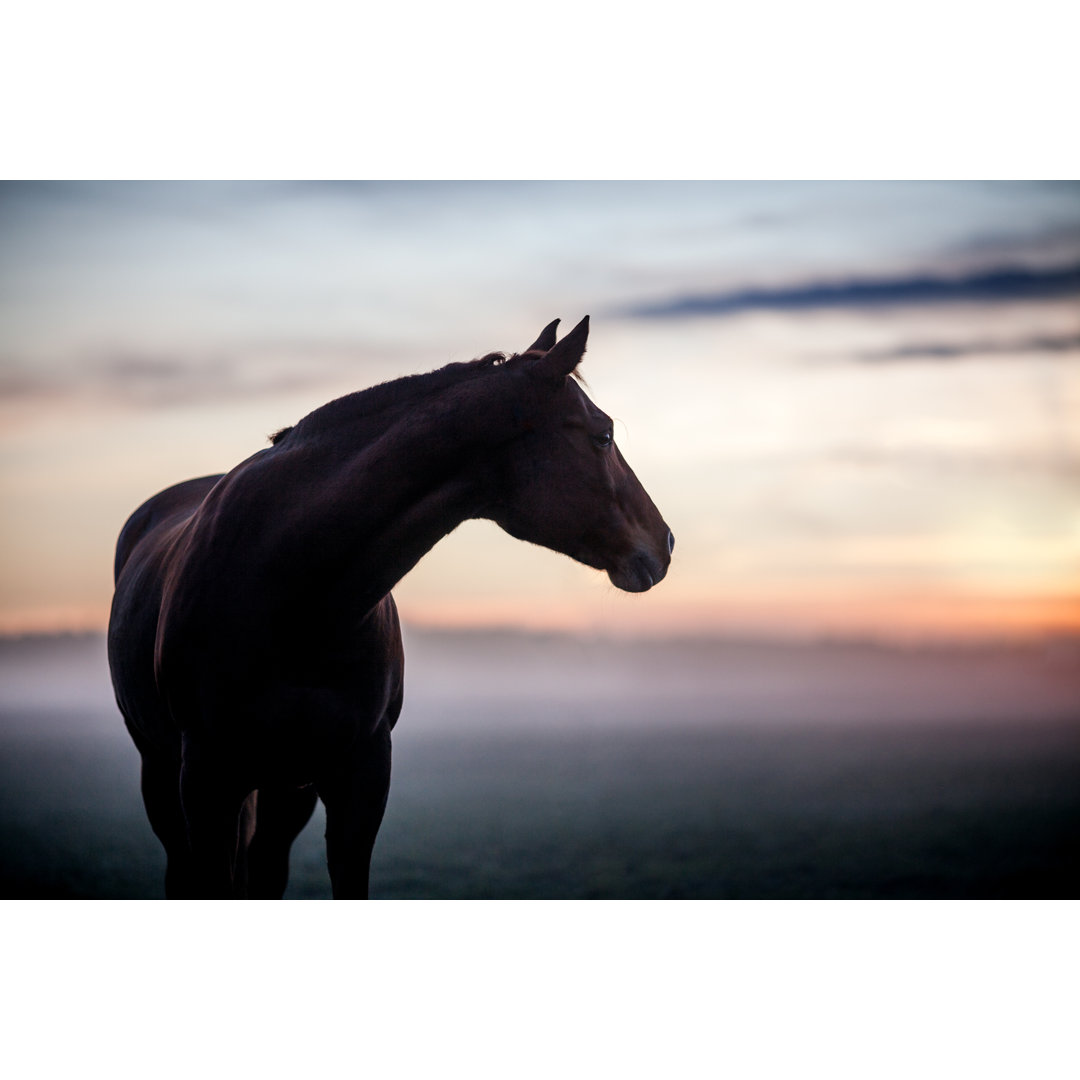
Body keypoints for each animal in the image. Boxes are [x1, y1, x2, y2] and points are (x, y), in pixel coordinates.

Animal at [105, 315, 669, 898]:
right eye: (603, 435)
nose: (665, 542)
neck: (292, 594)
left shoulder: (361, 776)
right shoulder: (206, 782)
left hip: (285, 791)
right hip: (165, 773)